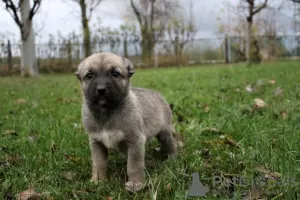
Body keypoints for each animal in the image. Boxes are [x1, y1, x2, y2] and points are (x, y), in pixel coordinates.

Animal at [75, 52, 178, 192]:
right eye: (89, 76)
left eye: (115, 73)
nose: (101, 90)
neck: (106, 111)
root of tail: (159, 95)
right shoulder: (96, 143)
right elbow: (99, 163)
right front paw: (98, 180)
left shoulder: (135, 142)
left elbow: (133, 166)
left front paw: (135, 183)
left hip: (165, 133)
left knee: (171, 145)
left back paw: (172, 159)